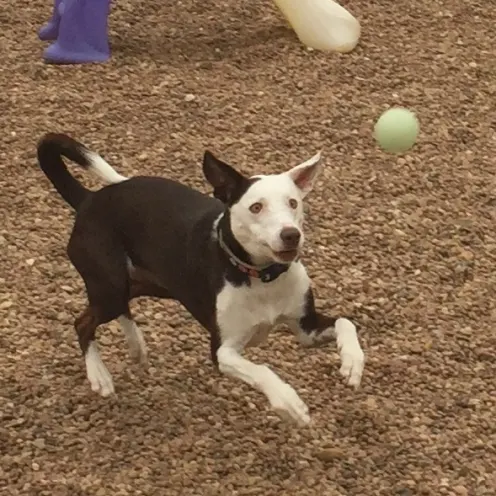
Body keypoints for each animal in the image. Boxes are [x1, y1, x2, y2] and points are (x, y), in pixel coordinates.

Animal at [37, 133, 364, 426]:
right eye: (256, 207)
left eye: (293, 203)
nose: (290, 234)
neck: (261, 277)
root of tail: (88, 199)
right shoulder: (223, 351)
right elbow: (262, 371)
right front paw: (287, 402)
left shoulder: (306, 329)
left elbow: (345, 322)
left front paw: (353, 362)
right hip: (110, 285)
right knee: (83, 322)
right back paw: (99, 375)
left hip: (146, 283)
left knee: (118, 310)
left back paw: (136, 347)